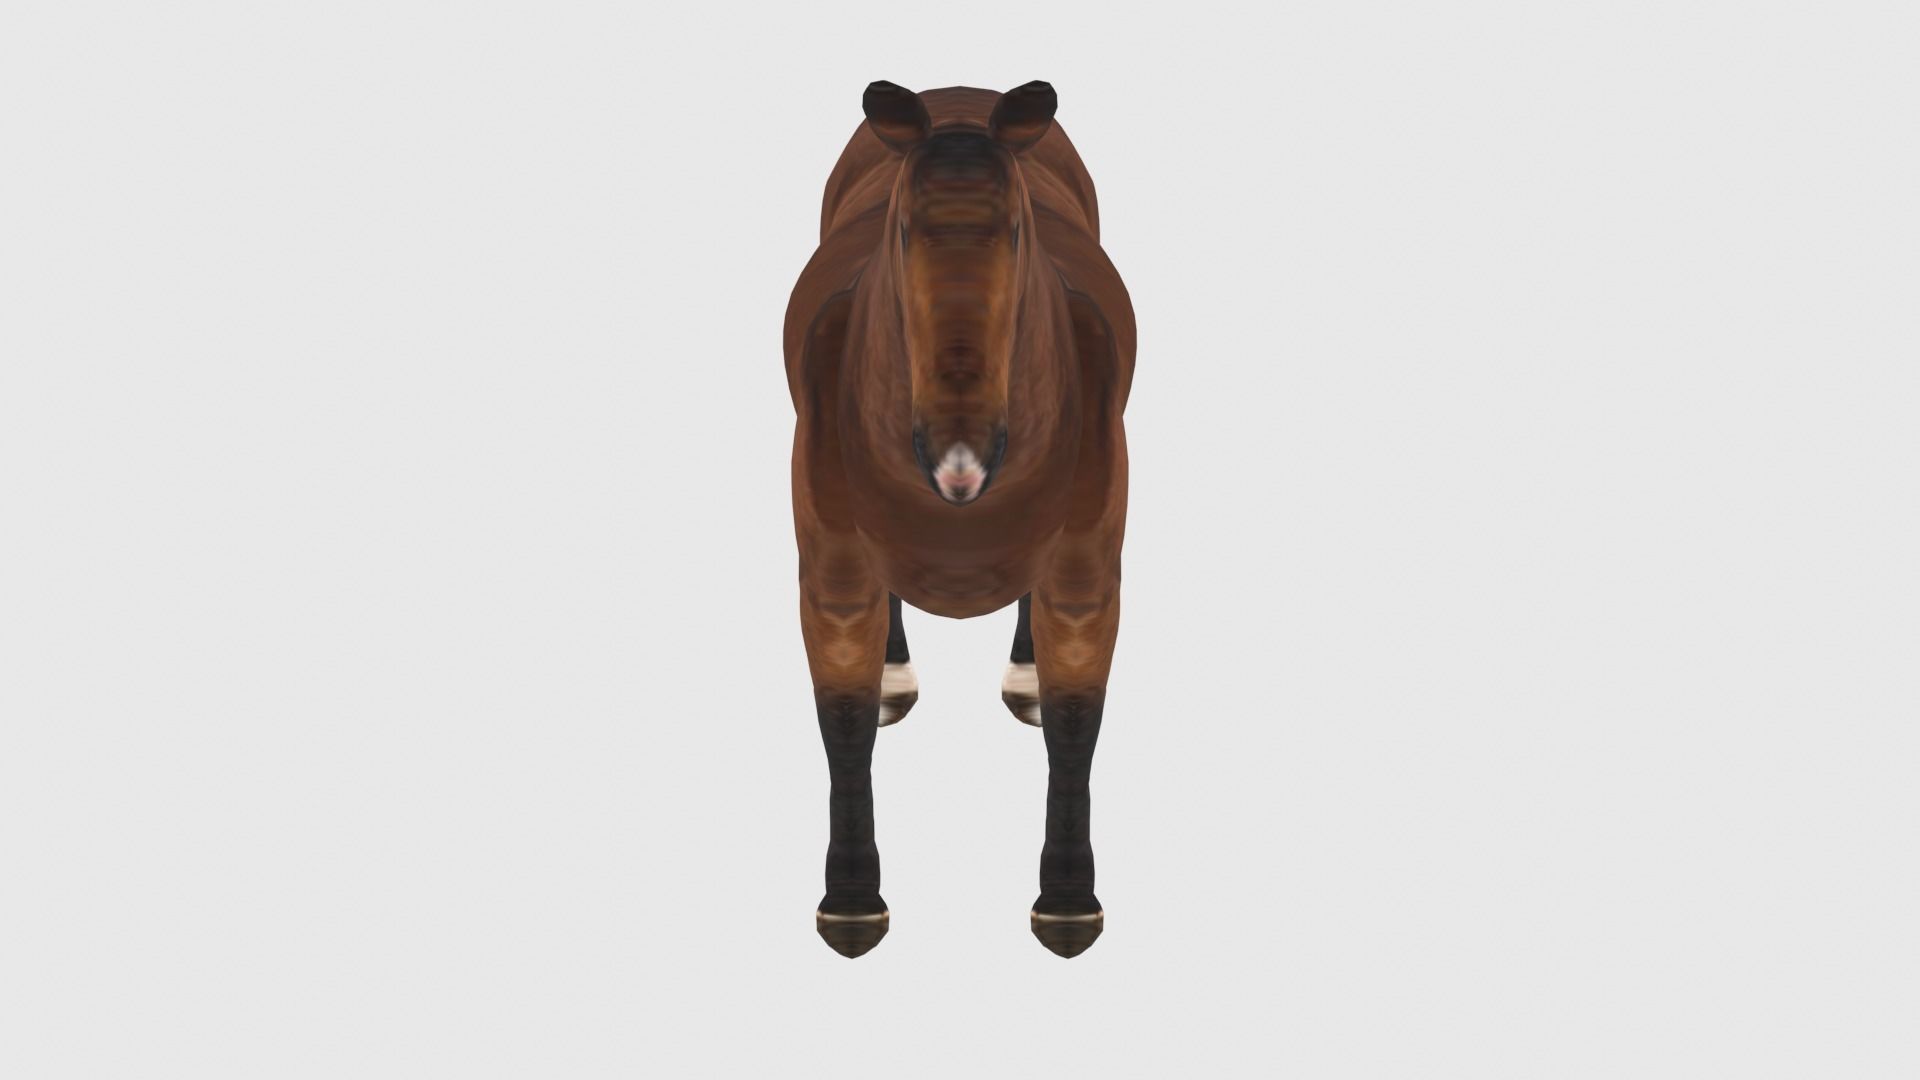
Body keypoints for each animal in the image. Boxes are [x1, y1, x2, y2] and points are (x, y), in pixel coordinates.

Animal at [783, 80, 1135, 958]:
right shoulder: (830, 562)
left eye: (1016, 229)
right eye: (903, 228)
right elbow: (842, 718)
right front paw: (851, 905)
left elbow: (1077, 718)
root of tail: (960, 94)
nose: (959, 460)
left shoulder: (1089, 563)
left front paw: (1067, 904)